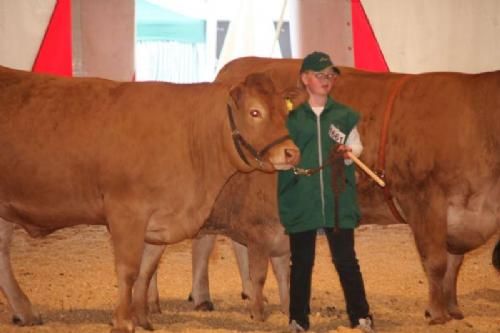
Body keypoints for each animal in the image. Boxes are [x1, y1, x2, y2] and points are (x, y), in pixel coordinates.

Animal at [0, 64, 300, 330]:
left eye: (284, 111)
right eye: (255, 112)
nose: (291, 152)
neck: (189, 136)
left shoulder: (159, 222)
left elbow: (146, 270)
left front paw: (141, 317)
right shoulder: (125, 212)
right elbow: (128, 269)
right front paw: (123, 320)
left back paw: (24, 312)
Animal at [188, 57, 500, 324]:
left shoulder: (462, 216)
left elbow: (454, 264)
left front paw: (453, 308)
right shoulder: (425, 199)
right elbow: (436, 262)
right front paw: (437, 313)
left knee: (237, 243)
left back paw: (249, 293)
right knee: (204, 241)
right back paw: (203, 297)